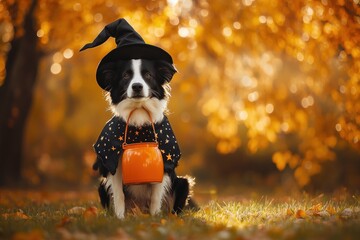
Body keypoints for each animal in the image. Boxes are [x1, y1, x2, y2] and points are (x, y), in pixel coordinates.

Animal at [92, 58, 194, 219]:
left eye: (148, 75)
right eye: (126, 76)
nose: (137, 86)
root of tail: (139, 210)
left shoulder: (163, 162)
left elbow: (155, 196)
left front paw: (155, 218)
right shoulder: (114, 164)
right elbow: (119, 195)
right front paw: (120, 219)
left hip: (184, 183)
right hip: (101, 186)